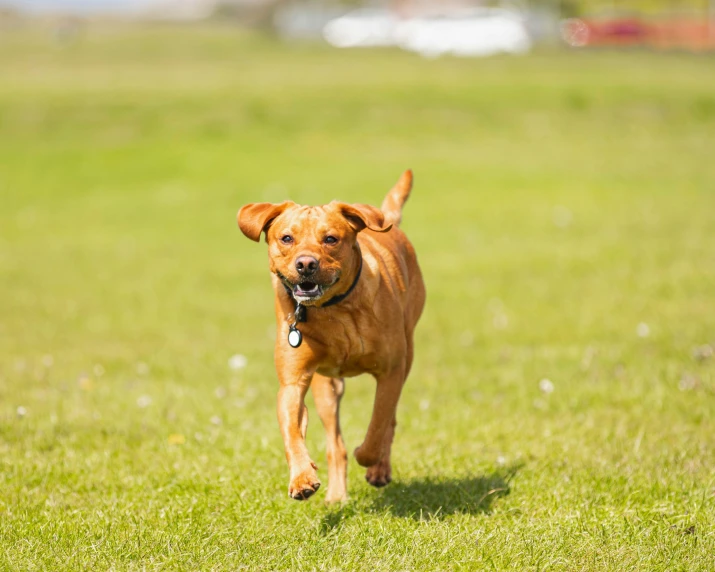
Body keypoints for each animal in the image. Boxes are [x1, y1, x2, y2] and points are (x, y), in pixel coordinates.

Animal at [239, 170, 426, 500]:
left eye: (330, 239)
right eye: (286, 238)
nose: (306, 264)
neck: (333, 310)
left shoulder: (390, 371)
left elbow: (378, 425)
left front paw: (368, 456)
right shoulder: (293, 381)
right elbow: (292, 431)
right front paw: (301, 478)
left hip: (407, 353)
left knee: (388, 423)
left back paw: (379, 468)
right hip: (326, 388)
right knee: (334, 443)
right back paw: (336, 495)